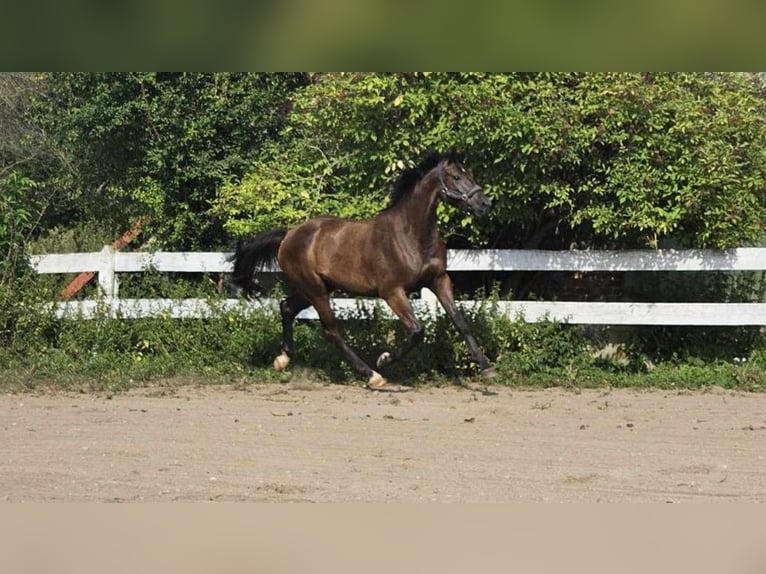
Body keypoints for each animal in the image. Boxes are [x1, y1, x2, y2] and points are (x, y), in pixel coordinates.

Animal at [230, 151, 498, 390]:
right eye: (456, 176)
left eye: (470, 174)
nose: (484, 204)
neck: (411, 235)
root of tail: (288, 235)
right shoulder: (392, 292)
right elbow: (417, 331)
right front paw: (384, 359)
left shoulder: (439, 280)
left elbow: (460, 322)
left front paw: (486, 368)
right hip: (315, 290)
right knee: (331, 331)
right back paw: (372, 375)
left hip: (318, 287)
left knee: (286, 307)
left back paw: (283, 359)